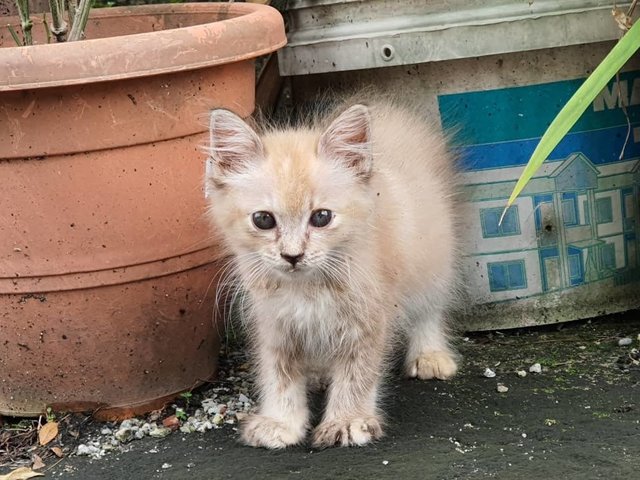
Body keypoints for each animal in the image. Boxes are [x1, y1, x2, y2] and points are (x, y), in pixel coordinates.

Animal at [205, 99, 460, 448]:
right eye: (263, 220)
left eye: (321, 217)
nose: (292, 255)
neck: (306, 289)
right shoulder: (274, 321)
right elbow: (279, 373)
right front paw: (280, 422)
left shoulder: (369, 317)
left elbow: (357, 373)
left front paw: (347, 421)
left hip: (433, 262)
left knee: (430, 309)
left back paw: (430, 355)